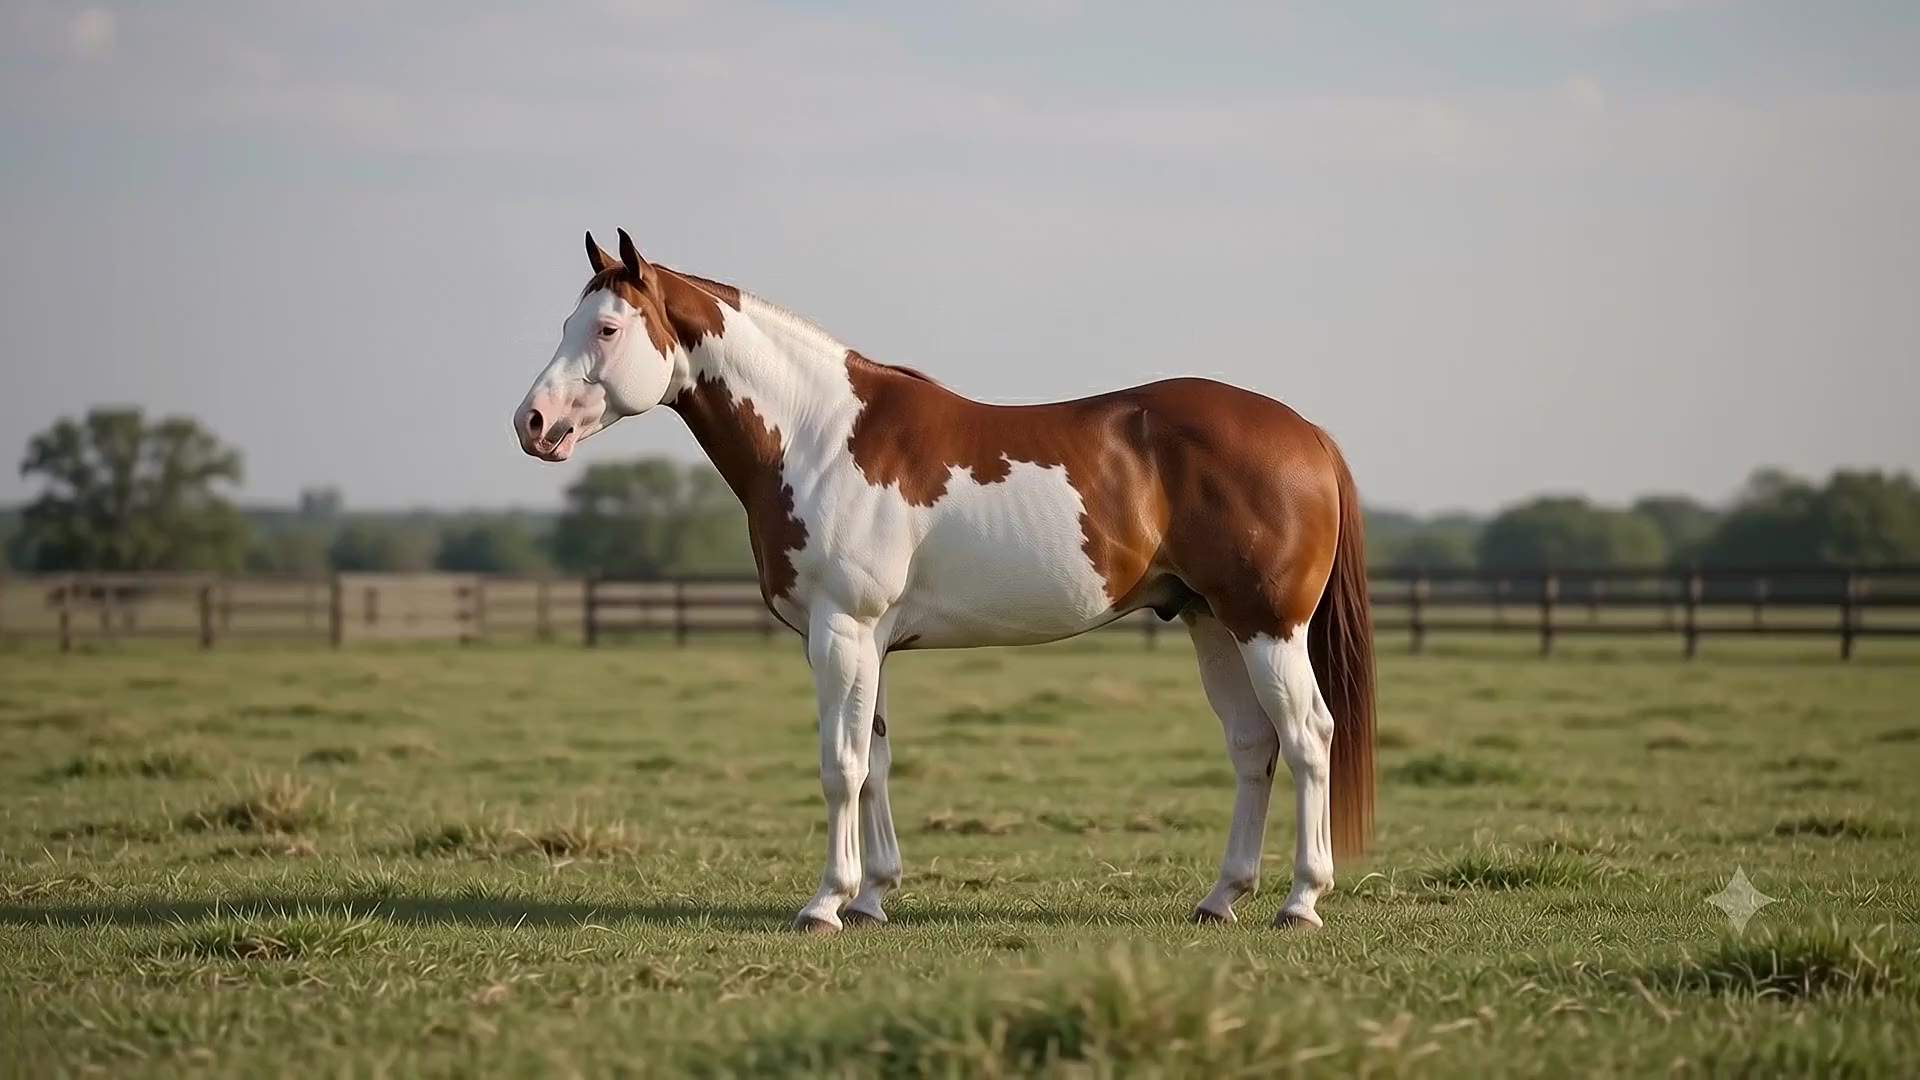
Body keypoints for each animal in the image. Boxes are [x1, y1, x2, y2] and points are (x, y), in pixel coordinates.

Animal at [513, 229, 1376, 932]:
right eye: (565, 326)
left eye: (608, 328)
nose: (532, 423)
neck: (818, 435)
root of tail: (1307, 433)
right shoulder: (870, 641)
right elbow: (876, 761)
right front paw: (871, 897)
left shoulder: (842, 630)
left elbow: (840, 766)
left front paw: (825, 904)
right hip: (1211, 623)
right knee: (1253, 745)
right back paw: (1222, 898)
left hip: (1268, 626)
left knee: (1308, 737)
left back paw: (1302, 901)